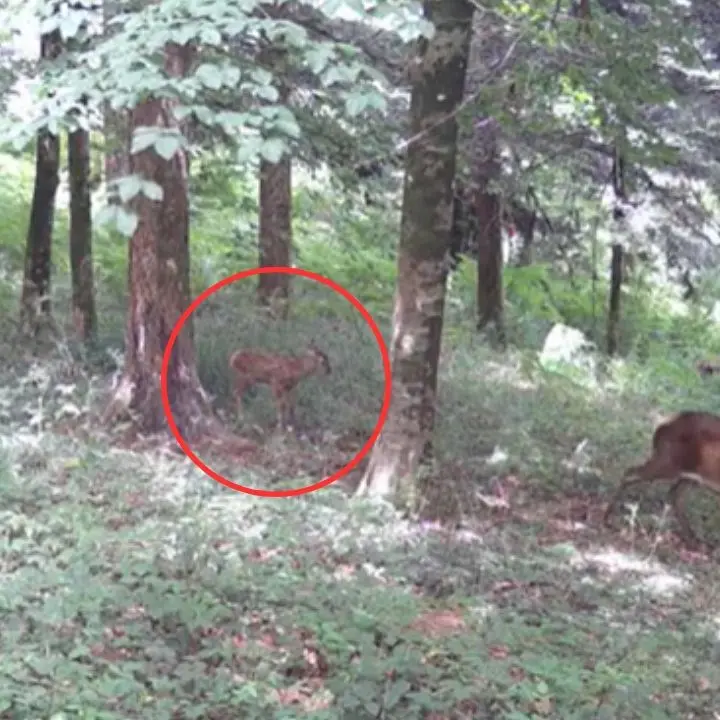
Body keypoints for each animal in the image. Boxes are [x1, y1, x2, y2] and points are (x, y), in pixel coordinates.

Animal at [604, 410, 720, 544]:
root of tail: (660, 427)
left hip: (687, 474)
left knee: (675, 496)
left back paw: (691, 538)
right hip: (667, 462)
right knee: (630, 472)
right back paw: (607, 518)